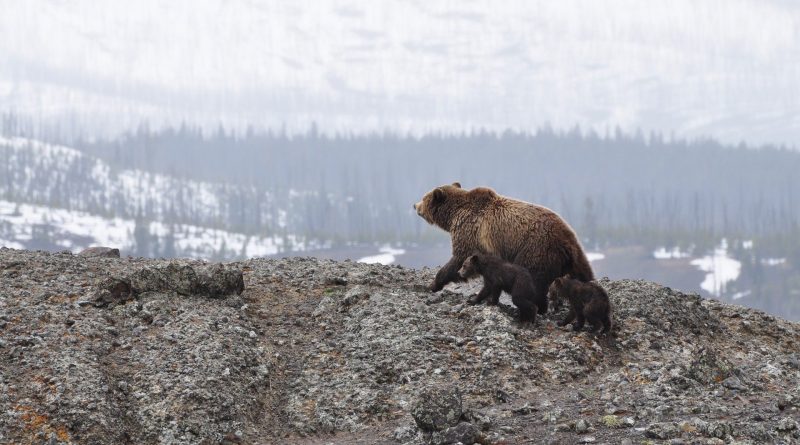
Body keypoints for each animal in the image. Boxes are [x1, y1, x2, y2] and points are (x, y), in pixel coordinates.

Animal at [413, 182, 594, 314]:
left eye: (424, 197)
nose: (415, 205)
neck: (453, 215)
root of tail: (568, 241)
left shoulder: (469, 232)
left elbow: (458, 259)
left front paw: (433, 284)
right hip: (574, 258)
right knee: (584, 275)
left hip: (535, 249)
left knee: (534, 280)